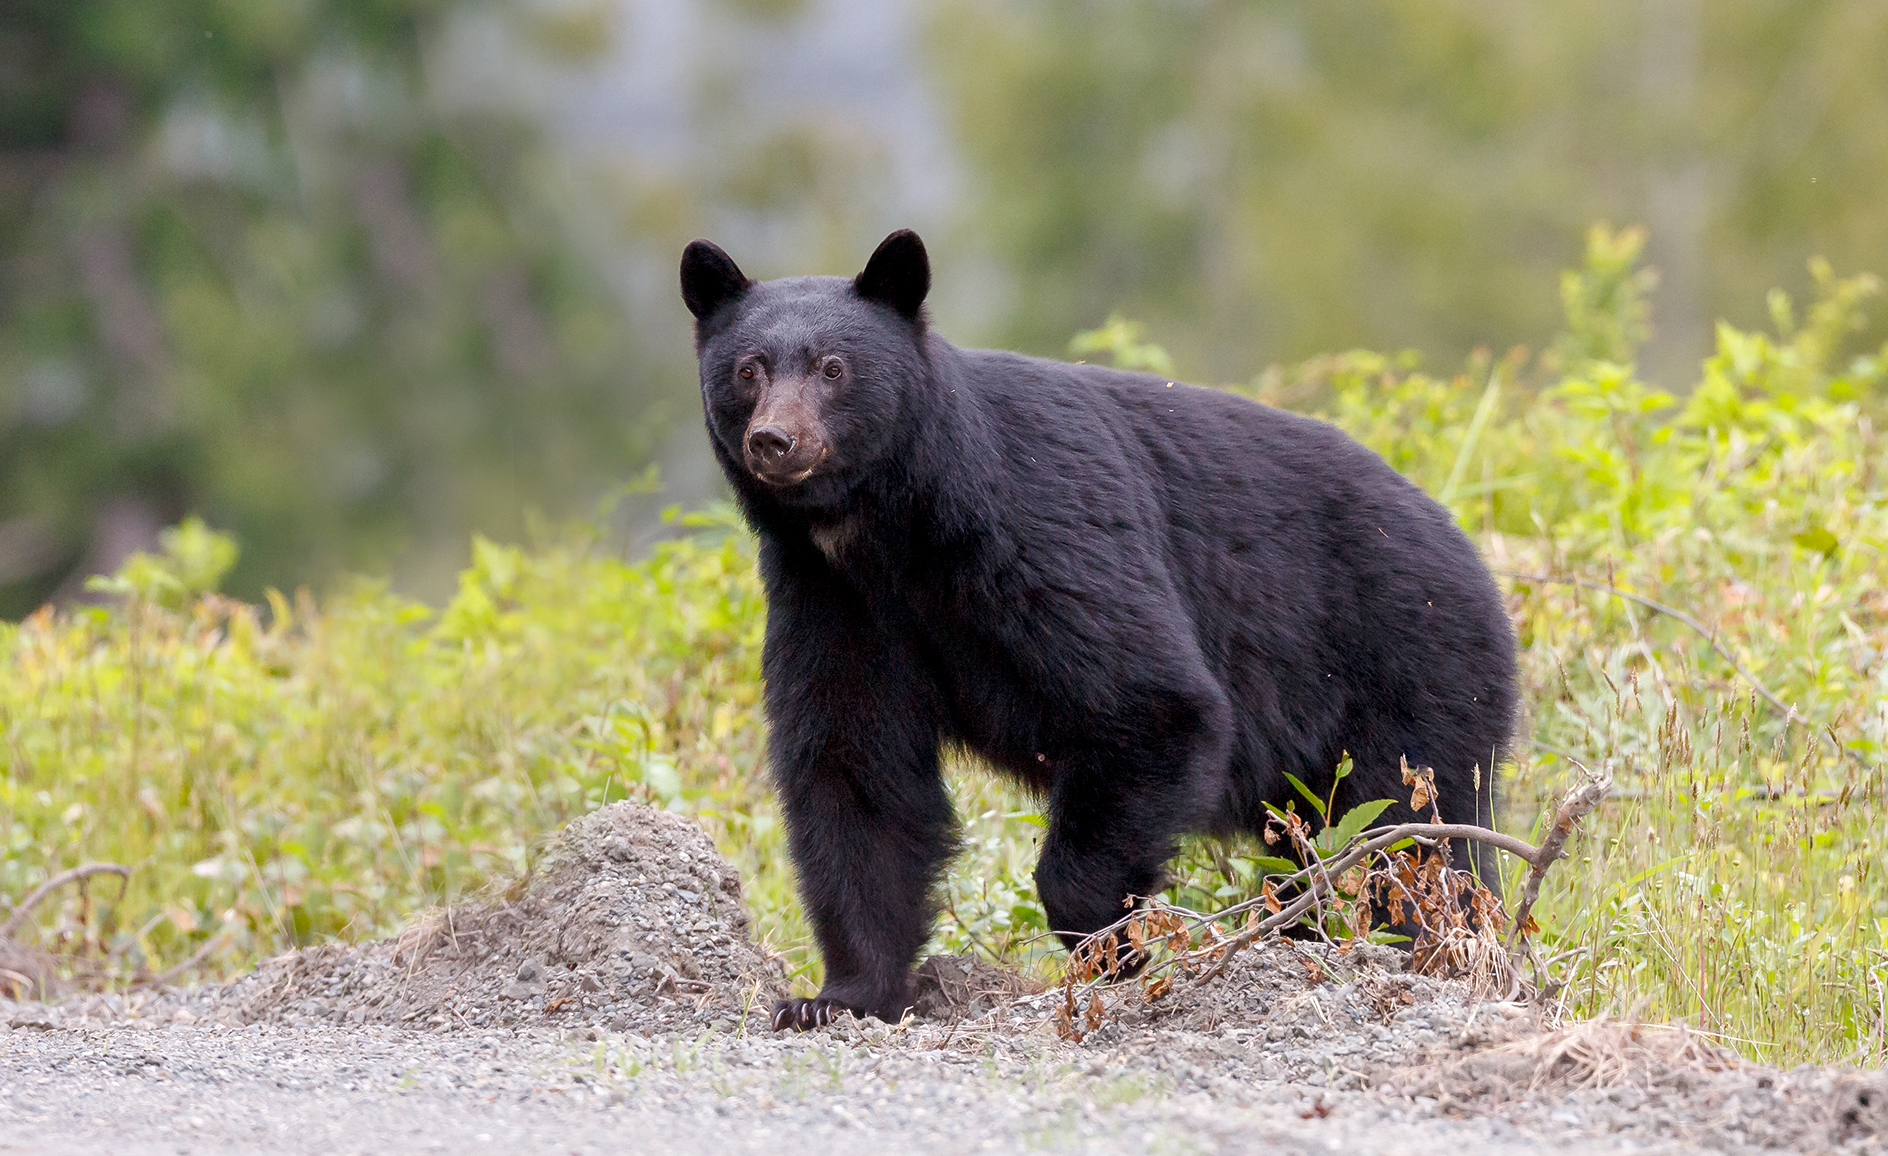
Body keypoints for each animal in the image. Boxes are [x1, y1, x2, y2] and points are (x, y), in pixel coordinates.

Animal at [683, 227, 1517, 1027]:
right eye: (749, 370)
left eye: (833, 369)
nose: (775, 441)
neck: (893, 529)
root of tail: (1475, 556)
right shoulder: (835, 599)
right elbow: (856, 771)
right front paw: (840, 996)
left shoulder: (1043, 532)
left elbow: (1150, 703)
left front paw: (1112, 953)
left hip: (1410, 668)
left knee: (1409, 837)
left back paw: (1407, 948)